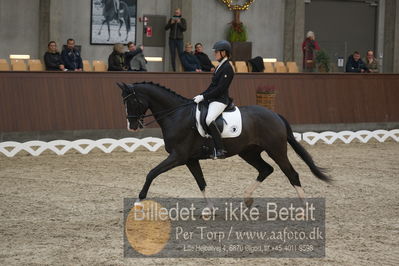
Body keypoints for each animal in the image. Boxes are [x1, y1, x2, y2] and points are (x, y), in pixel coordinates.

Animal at [119, 82, 332, 207]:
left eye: (133, 101)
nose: (131, 126)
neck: (176, 115)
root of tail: (275, 115)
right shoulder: (189, 159)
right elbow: (201, 181)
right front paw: (209, 209)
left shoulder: (177, 157)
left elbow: (151, 173)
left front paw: (139, 200)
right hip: (249, 152)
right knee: (265, 169)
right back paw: (246, 200)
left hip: (276, 150)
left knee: (291, 174)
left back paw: (304, 208)